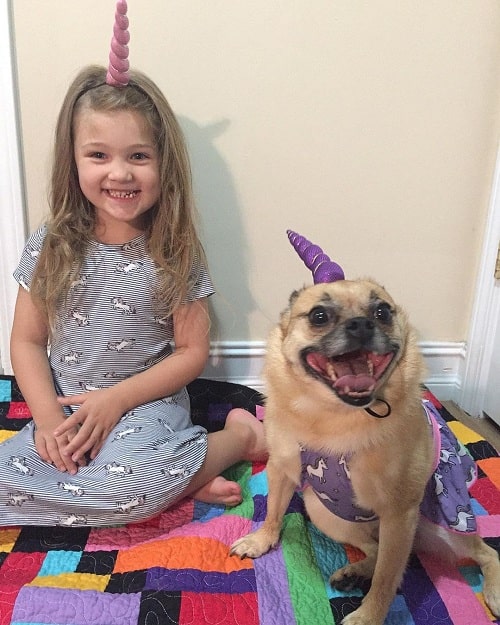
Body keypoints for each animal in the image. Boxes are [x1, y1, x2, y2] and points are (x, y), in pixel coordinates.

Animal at [231, 276, 500, 624]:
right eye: (319, 316)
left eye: (382, 312)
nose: (361, 324)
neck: (333, 415)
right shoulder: (281, 469)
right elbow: (273, 513)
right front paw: (261, 540)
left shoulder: (399, 514)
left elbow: (386, 580)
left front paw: (368, 616)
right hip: (322, 512)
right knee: (375, 548)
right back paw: (355, 572)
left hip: (447, 530)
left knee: (483, 552)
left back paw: (493, 591)